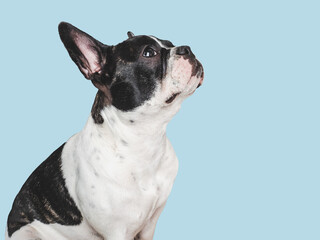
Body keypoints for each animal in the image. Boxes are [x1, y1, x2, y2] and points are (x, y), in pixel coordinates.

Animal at [5, 22, 204, 240]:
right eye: (148, 53)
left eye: (170, 43)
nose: (187, 49)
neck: (143, 139)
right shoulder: (116, 231)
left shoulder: (150, 224)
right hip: (27, 233)